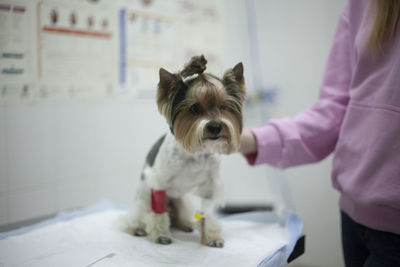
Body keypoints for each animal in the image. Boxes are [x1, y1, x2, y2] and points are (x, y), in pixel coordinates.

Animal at [123, 56, 245, 249]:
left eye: (224, 106)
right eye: (194, 109)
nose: (215, 127)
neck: (195, 152)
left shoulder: (210, 187)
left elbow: (208, 214)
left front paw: (211, 237)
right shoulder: (159, 183)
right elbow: (158, 214)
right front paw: (161, 235)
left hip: (181, 202)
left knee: (180, 217)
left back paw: (185, 224)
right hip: (144, 199)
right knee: (136, 216)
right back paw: (138, 228)